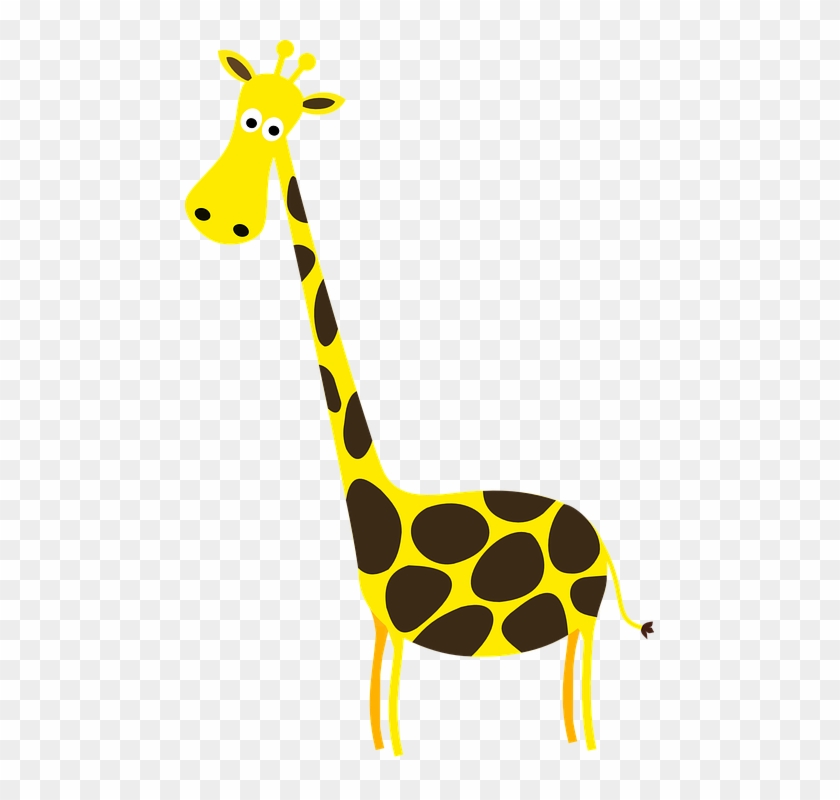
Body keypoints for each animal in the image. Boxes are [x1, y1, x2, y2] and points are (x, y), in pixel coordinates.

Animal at [185, 41, 654, 756]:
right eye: (243, 112)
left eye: (272, 127)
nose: (220, 218)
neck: (379, 507)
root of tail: (604, 544)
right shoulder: (384, 630)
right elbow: (378, 713)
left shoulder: (405, 631)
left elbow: (392, 715)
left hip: (582, 621)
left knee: (580, 686)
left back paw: (586, 747)